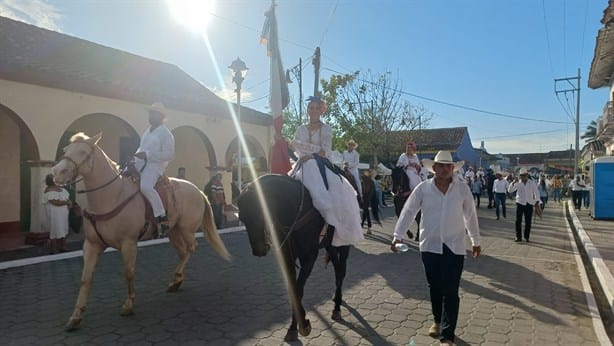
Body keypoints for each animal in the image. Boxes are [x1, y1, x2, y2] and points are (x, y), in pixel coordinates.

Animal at [51, 132, 231, 330]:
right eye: (66, 150)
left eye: (83, 152)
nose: (57, 172)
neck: (112, 196)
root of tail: (198, 191)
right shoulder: (92, 244)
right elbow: (85, 279)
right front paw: (75, 316)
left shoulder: (128, 243)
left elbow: (128, 272)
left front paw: (128, 305)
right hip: (173, 231)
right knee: (183, 252)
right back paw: (175, 281)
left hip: (186, 229)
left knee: (192, 248)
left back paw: (177, 277)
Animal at [237, 174, 352, 342]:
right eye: (242, 218)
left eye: (260, 213)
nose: (259, 250)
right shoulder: (288, 256)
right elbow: (293, 289)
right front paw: (293, 327)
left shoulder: (309, 256)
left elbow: (298, 289)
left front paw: (302, 325)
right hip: (329, 245)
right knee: (337, 270)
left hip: (344, 245)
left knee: (342, 271)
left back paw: (337, 307)